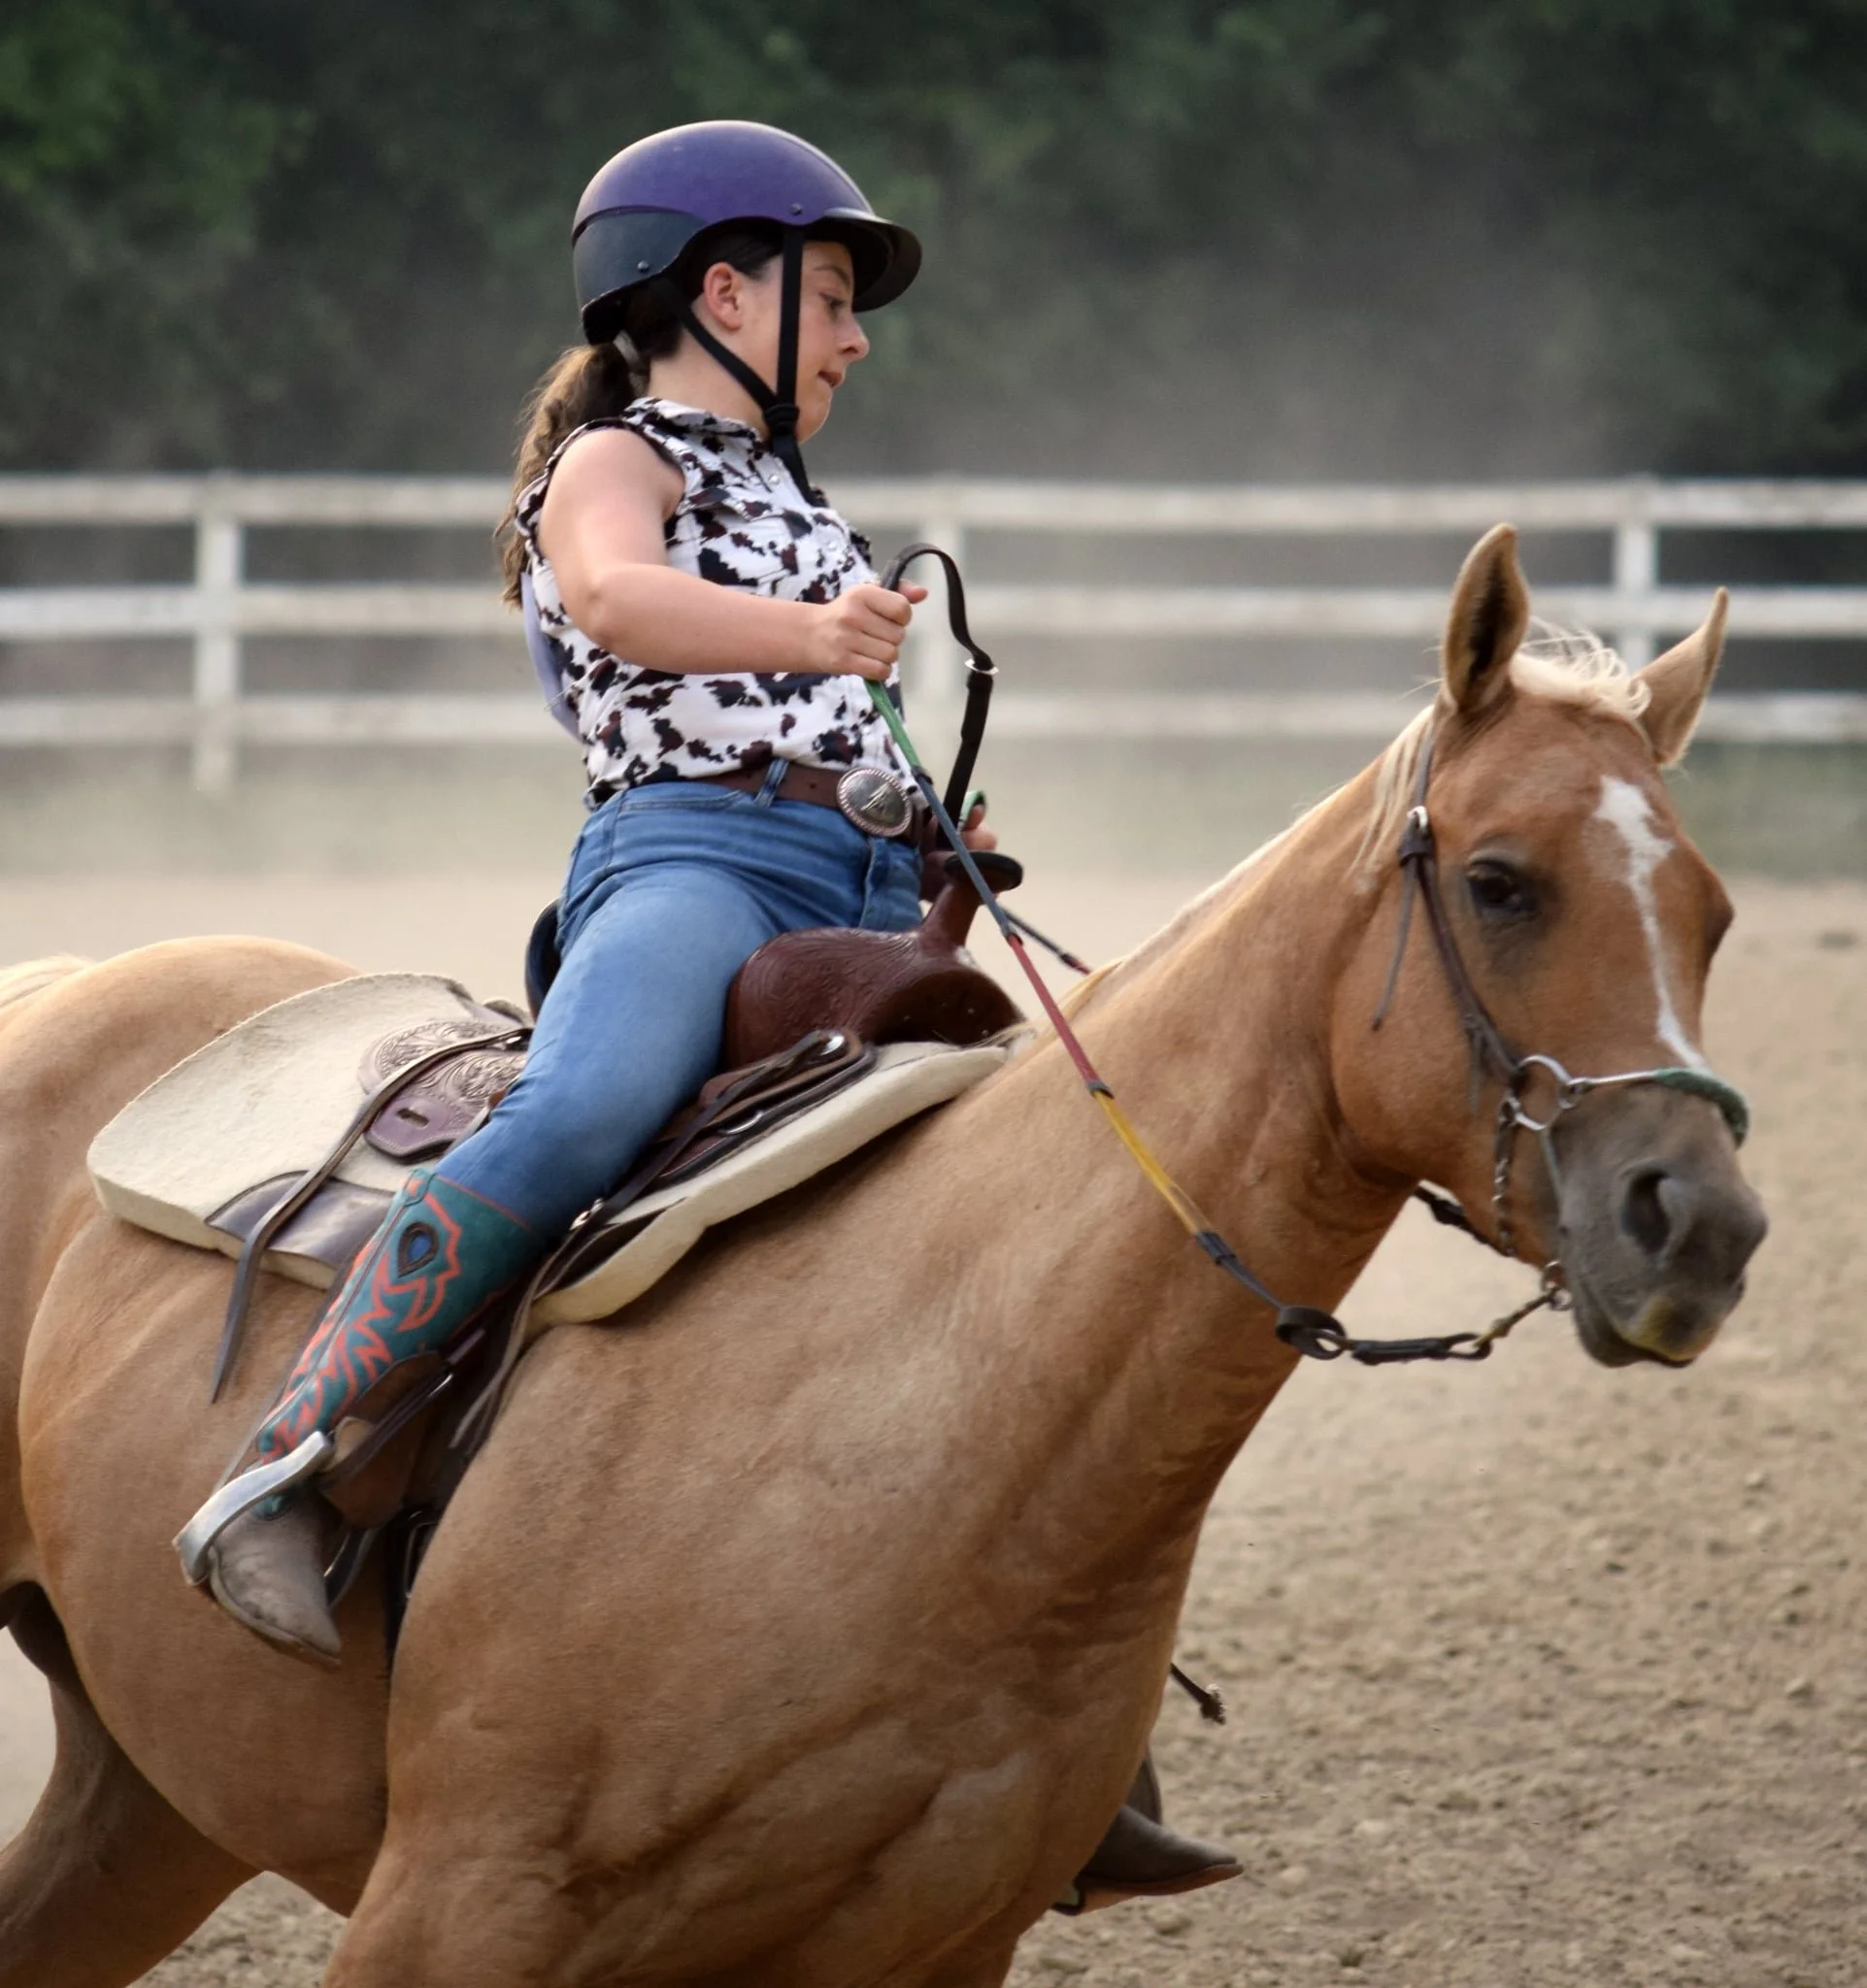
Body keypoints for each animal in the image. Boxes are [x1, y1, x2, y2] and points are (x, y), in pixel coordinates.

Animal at [0, 526, 1765, 1987]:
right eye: (1497, 879)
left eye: (1712, 912)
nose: (1698, 1222)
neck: (948, 1426)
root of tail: (72, 978)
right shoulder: (450, 1907)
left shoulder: (932, 1948)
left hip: (149, 1800)